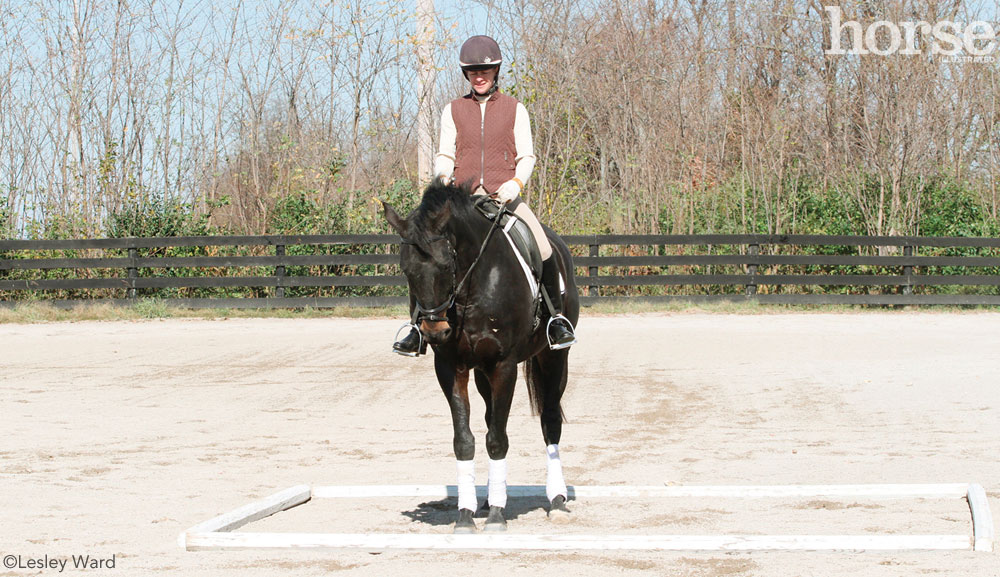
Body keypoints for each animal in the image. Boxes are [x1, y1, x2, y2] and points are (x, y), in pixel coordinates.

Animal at [382, 182, 580, 532]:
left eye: (446, 265)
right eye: (406, 270)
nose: (435, 331)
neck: (472, 288)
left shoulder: (504, 365)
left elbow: (498, 439)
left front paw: (498, 516)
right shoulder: (451, 367)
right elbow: (465, 439)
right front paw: (466, 514)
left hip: (554, 358)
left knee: (551, 420)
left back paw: (556, 500)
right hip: (481, 372)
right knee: (490, 418)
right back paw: (488, 499)